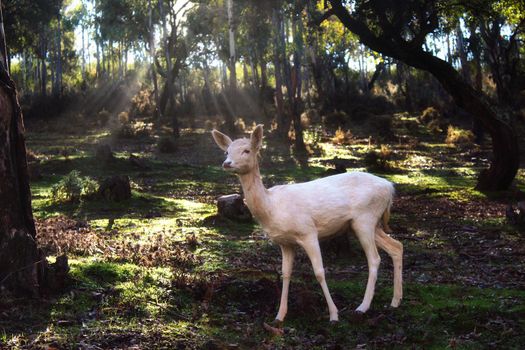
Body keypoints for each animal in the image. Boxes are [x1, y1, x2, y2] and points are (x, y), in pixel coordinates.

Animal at [211, 125, 404, 322]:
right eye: (226, 151)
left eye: (247, 150)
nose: (227, 163)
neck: (272, 208)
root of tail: (390, 187)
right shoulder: (285, 243)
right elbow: (286, 274)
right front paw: (279, 315)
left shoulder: (308, 232)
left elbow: (319, 271)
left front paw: (334, 315)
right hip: (367, 224)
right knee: (397, 246)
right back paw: (395, 301)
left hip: (365, 218)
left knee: (374, 258)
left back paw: (362, 307)